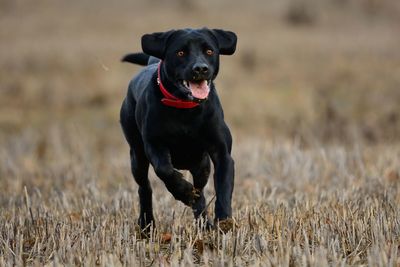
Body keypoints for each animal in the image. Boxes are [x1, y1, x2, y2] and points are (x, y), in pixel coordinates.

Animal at [119, 28, 238, 231]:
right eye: (180, 53)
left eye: (209, 51)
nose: (200, 68)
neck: (185, 109)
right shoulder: (154, 145)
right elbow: (165, 170)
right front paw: (184, 192)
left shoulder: (221, 152)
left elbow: (223, 187)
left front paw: (224, 221)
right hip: (137, 156)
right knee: (145, 188)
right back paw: (146, 224)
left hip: (202, 164)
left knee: (201, 193)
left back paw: (204, 223)